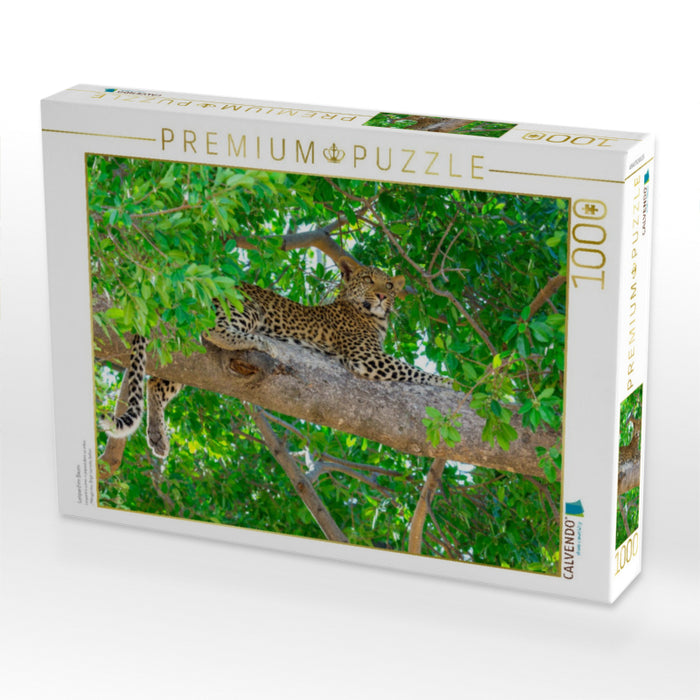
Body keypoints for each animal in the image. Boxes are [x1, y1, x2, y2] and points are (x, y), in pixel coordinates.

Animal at [99, 256, 446, 459]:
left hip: (184, 359)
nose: (383, 296)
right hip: (247, 308)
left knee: (156, 383)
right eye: (367, 280)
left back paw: (157, 436)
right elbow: (413, 370)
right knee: (214, 330)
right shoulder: (367, 356)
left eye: (388, 284)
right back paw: (262, 343)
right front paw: (449, 382)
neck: (374, 317)